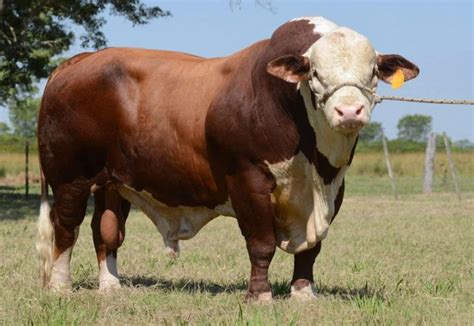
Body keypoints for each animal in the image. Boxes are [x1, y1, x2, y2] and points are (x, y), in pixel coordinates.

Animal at [36, 16, 418, 300]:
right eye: (315, 73)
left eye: (373, 72)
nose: (349, 111)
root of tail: (76, 63)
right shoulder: (247, 179)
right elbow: (261, 244)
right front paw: (259, 295)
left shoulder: (334, 188)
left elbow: (310, 250)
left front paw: (303, 293)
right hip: (70, 177)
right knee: (66, 226)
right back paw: (60, 286)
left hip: (113, 182)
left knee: (106, 231)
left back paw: (111, 286)